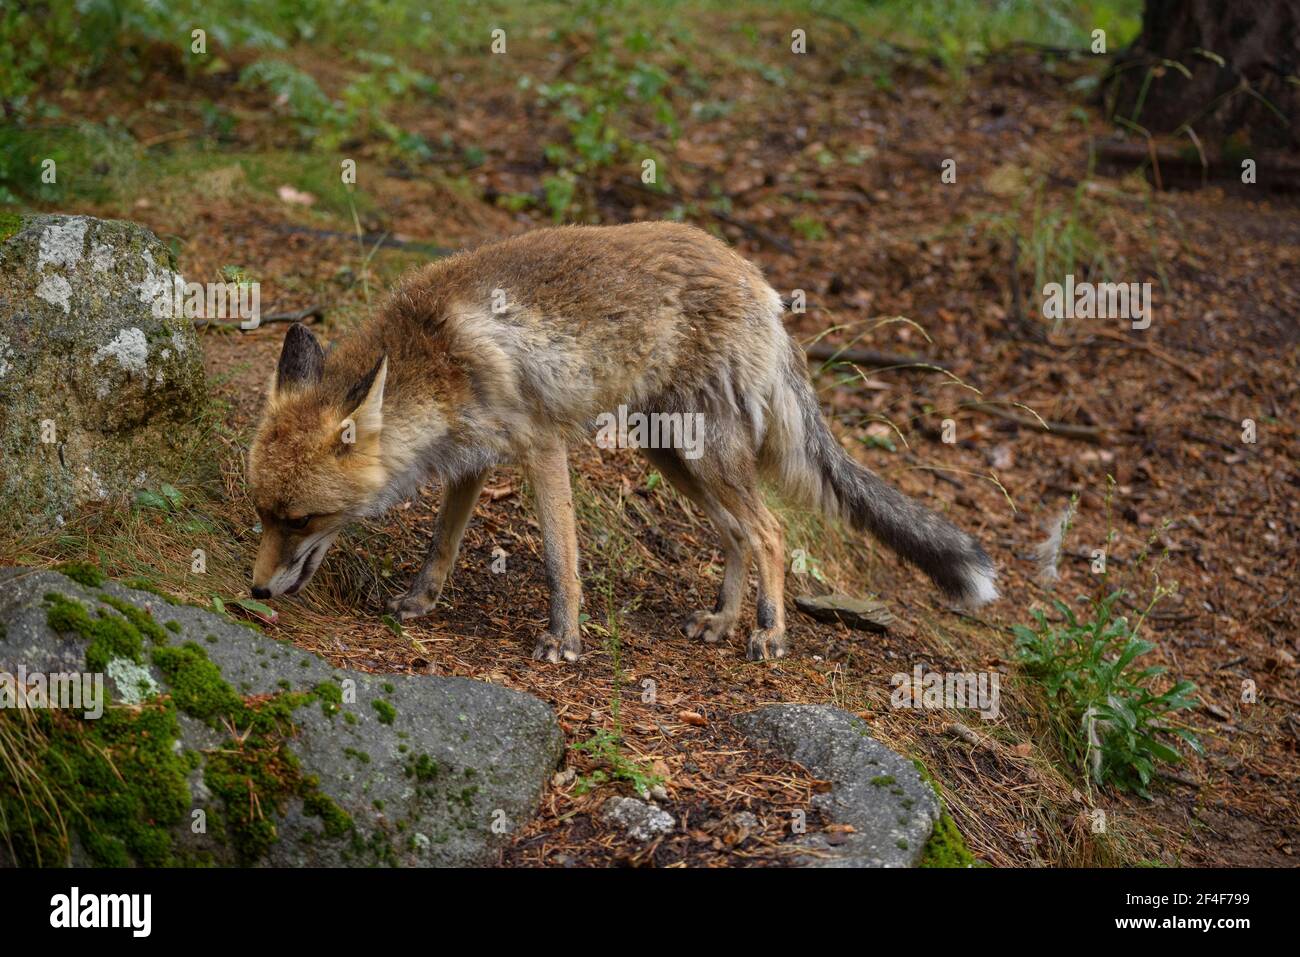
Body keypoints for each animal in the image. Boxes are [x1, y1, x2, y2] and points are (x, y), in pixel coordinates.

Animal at [247, 221, 998, 662]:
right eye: (264, 514)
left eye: (304, 519)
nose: (256, 591)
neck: (436, 356)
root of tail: (755, 277)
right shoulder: (472, 460)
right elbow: (443, 543)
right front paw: (420, 602)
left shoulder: (540, 444)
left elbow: (562, 558)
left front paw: (566, 638)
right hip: (672, 455)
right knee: (737, 535)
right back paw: (723, 620)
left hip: (703, 454)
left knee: (771, 532)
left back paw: (769, 630)